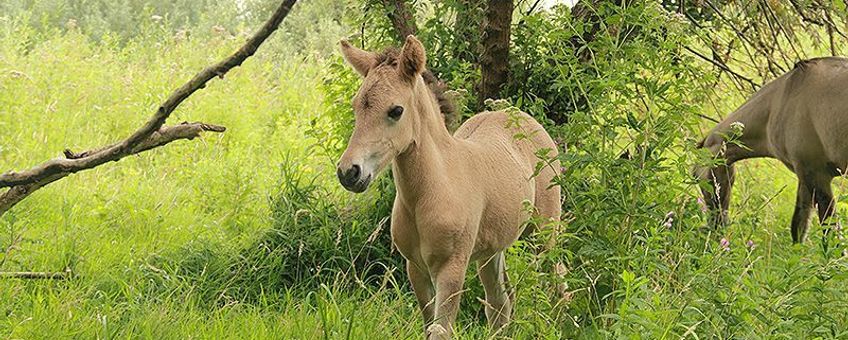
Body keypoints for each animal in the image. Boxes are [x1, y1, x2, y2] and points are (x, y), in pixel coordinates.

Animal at [334, 35, 560, 338]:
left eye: (396, 110)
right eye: (356, 105)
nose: (349, 172)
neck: (431, 190)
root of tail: (521, 117)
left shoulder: (452, 268)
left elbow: (441, 330)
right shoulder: (415, 268)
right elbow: (429, 326)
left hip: (544, 234)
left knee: (556, 282)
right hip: (492, 250)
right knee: (500, 303)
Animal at [696, 57, 848, 243]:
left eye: (699, 180)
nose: (715, 226)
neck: (782, 98)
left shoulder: (817, 176)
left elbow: (831, 232)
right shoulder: (804, 176)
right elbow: (798, 227)